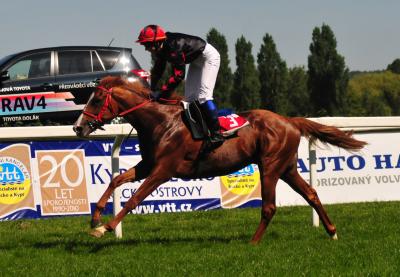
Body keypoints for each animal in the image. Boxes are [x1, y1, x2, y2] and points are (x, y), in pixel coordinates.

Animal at [73, 75, 368, 242]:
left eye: (96, 100)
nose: (77, 127)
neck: (161, 122)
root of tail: (290, 121)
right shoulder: (148, 165)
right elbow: (116, 180)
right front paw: (95, 218)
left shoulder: (163, 170)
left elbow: (135, 198)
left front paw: (106, 228)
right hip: (287, 168)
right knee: (311, 194)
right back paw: (332, 232)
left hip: (270, 166)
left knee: (269, 206)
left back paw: (253, 243)